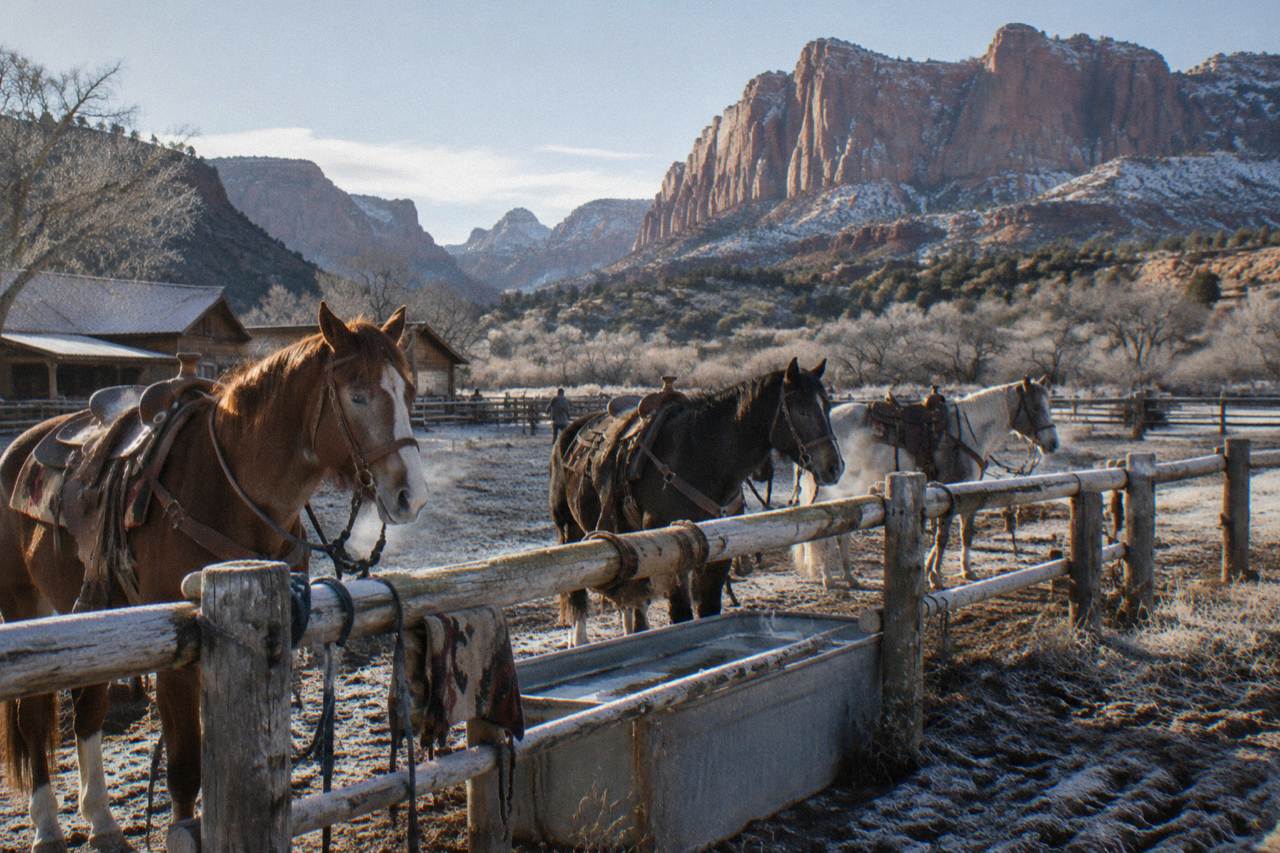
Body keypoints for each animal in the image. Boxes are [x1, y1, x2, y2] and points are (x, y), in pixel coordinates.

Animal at [0, 303, 427, 852]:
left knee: (89, 707)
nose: (411, 496)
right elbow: (184, 767)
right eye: (357, 395)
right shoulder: (178, 653)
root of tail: (20, 448)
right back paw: (48, 826)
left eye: (409, 393)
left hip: (94, 611)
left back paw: (101, 821)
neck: (228, 489)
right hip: (25, 605)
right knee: (35, 714)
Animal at [549, 358, 844, 647]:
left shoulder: (719, 555)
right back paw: (579, 638)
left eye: (827, 406)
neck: (699, 454)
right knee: (577, 591)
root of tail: (572, 431)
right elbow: (682, 616)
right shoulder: (673, 554)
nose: (834, 467)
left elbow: (708, 610)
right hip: (570, 529)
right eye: (802, 411)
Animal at [793, 376, 1059, 591]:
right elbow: (945, 535)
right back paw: (828, 578)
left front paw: (957, 569)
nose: (1053, 443)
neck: (968, 430)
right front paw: (937, 576)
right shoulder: (955, 491)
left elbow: (960, 533)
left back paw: (849, 577)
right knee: (823, 535)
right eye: (1036, 407)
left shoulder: (958, 493)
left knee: (842, 533)